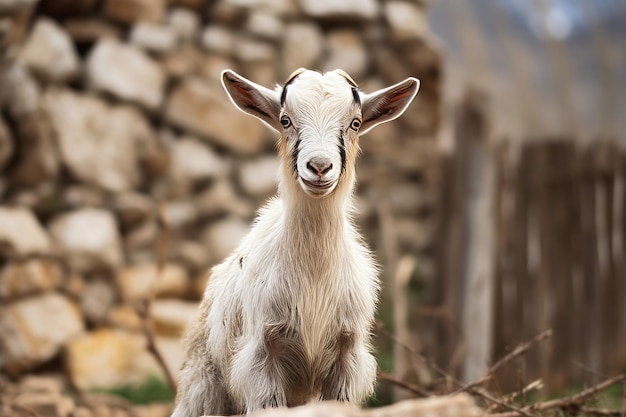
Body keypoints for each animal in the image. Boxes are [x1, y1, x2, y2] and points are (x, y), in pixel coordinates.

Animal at [169, 66, 420, 414]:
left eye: (355, 123)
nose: (319, 167)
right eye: (285, 120)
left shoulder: (347, 358)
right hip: (203, 384)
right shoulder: (262, 358)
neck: (314, 277)